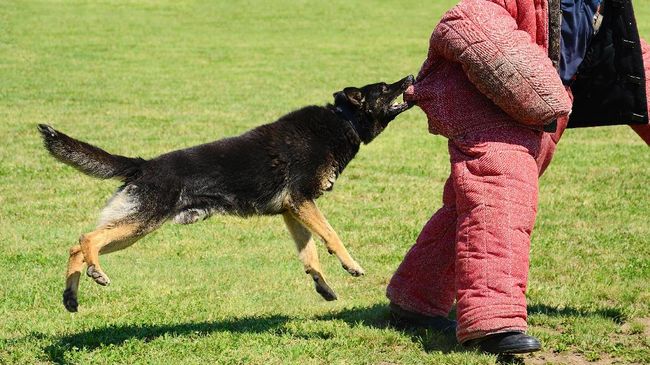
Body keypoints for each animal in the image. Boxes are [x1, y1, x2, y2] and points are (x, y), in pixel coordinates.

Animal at [39, 75, 416, 312]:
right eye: (385, 87)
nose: (411, 75)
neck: (343, 120)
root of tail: (143, 165)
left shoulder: (292, 211)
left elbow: (309, 253)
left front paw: (322, 285)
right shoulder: (302, 202)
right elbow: (332, 236)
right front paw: (351, 265)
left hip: (133, 231)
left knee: (76, 246)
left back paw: (71, 297)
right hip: (140, 223)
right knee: (87, 239)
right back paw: (96, 271)